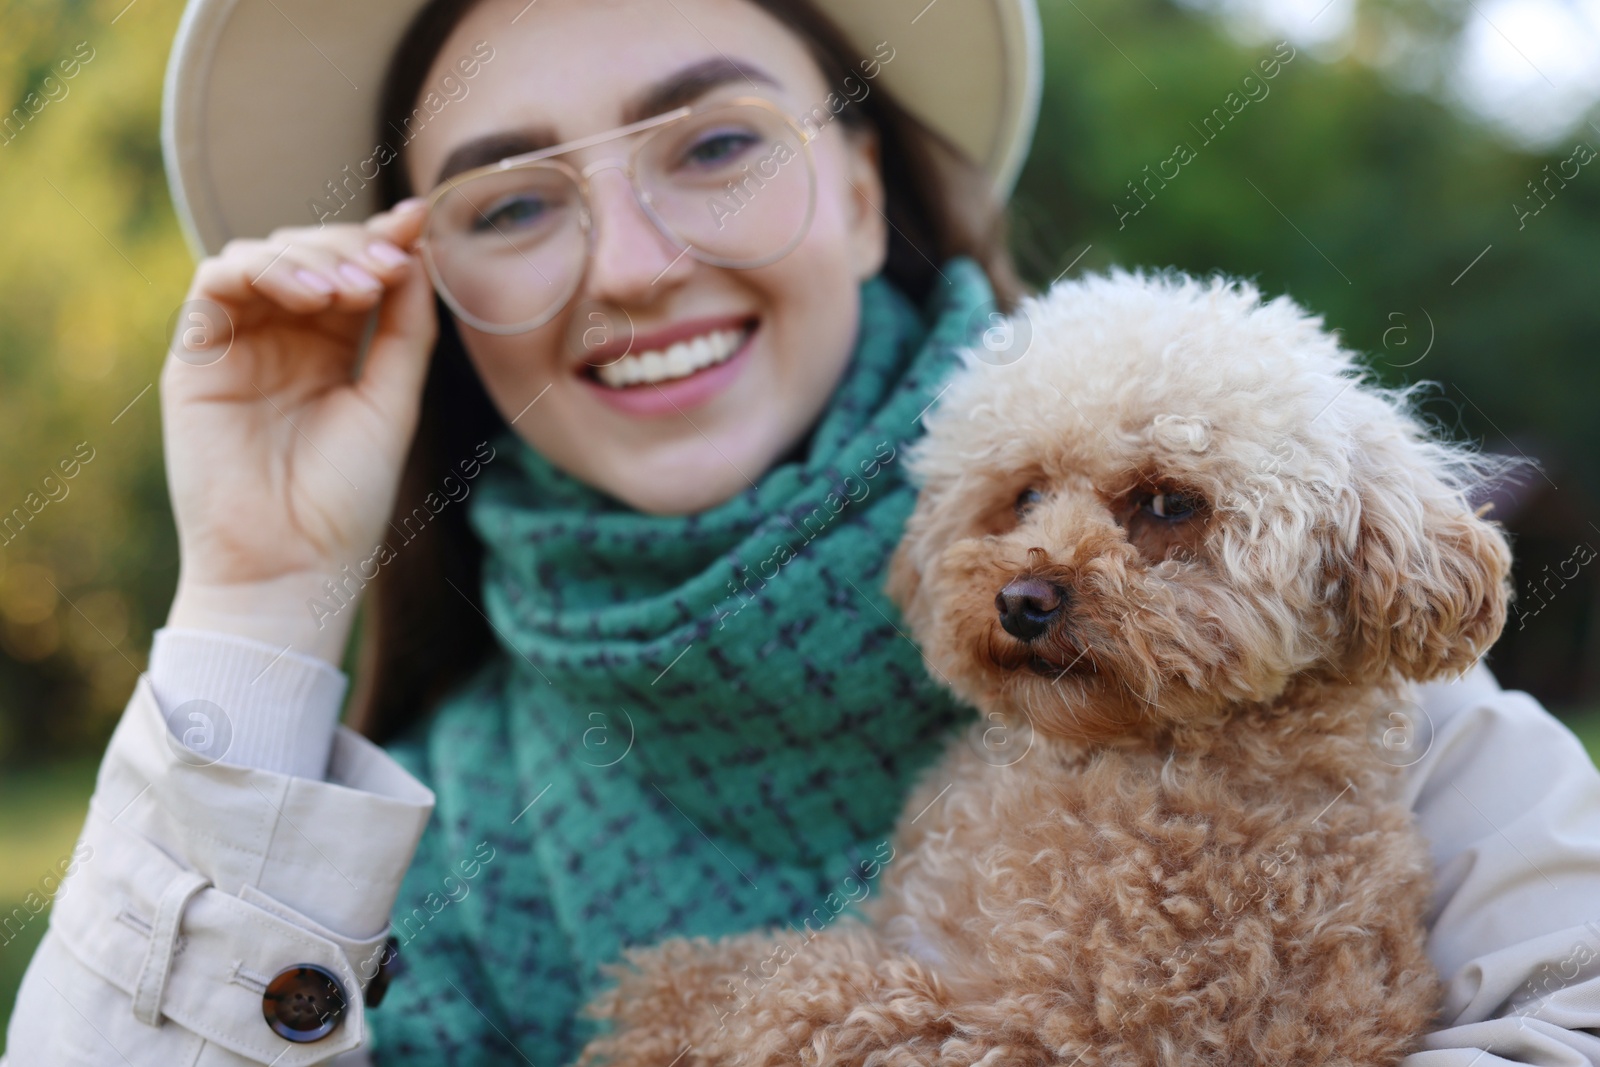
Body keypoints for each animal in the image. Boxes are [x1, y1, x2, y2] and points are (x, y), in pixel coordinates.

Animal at [579, 268, 1510, 1067]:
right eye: (1026, 494)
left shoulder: (1040, 1025)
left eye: (1170, 502)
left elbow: (775, 993)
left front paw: (650, 1003)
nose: (1022, 601)